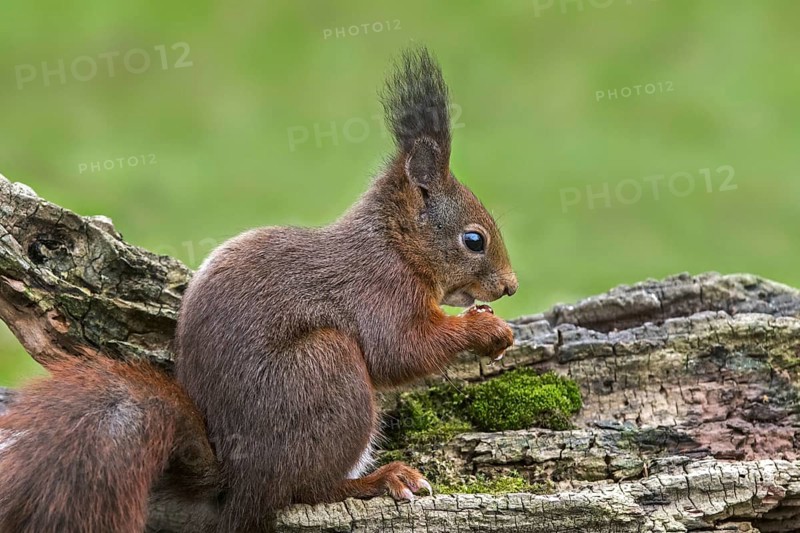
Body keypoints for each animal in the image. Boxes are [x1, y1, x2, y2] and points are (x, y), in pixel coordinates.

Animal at [0, 47, 516, 533]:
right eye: (474, 240)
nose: (511, 286)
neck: (396, 244)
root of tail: (239, 481)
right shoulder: (379, 291)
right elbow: (400, 350)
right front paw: (486, 331)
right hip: (326, 369)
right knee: (307, 489)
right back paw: (380, 479)